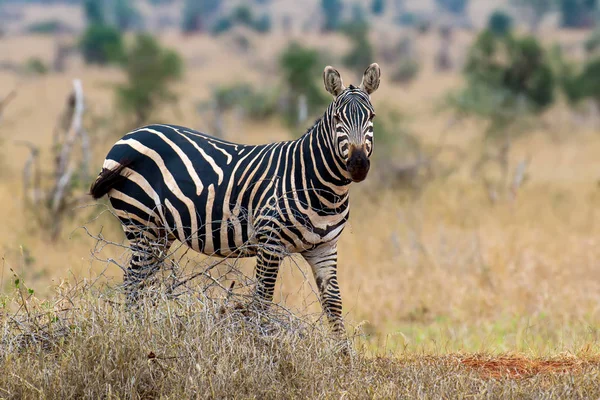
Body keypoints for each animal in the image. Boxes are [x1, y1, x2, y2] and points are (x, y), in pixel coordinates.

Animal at [90, 64, 380, 336]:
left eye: (371, 116)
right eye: (338, 118)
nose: (358, 165)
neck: (319, 184)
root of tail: (128, 136)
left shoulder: (325, 247)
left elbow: (333, 305)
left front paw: (344, 353)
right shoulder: (270, 243)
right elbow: (261, 301)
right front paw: (259, 344)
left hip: (159, 232)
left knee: (144, 283)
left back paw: (147, 329)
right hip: (140, 221)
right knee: (133, 281)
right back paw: (135, 331)